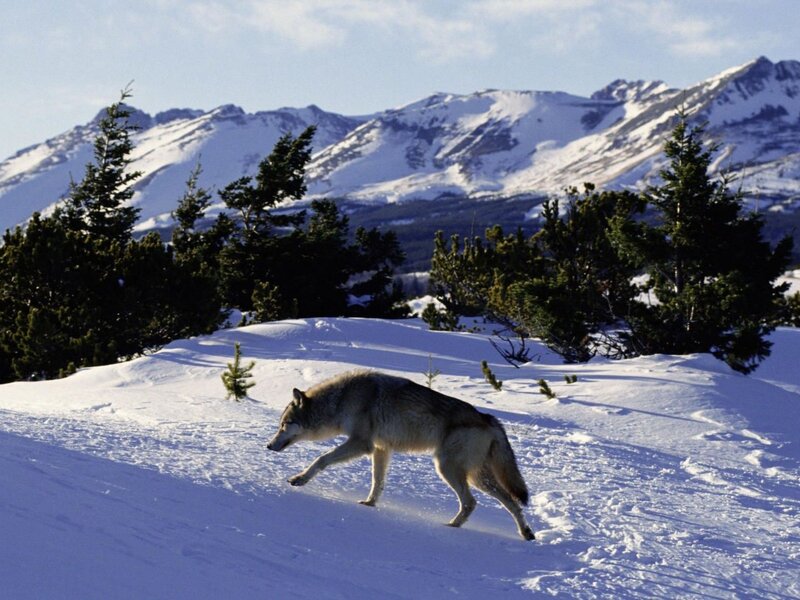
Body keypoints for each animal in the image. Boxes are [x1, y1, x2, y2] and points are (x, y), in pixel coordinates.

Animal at [267, 370, 535, 540]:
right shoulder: (380, 449)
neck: (342, 399)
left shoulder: (361, 443)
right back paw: (526, 534)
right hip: (477, 477)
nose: (269, 446)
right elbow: (377, 481)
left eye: (284, 425)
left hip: (448, 469)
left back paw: (451, 527)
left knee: (472, 502)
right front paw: (370, 504)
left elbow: (321, 459)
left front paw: (300, 479)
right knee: (512, 502)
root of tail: (488, 418)